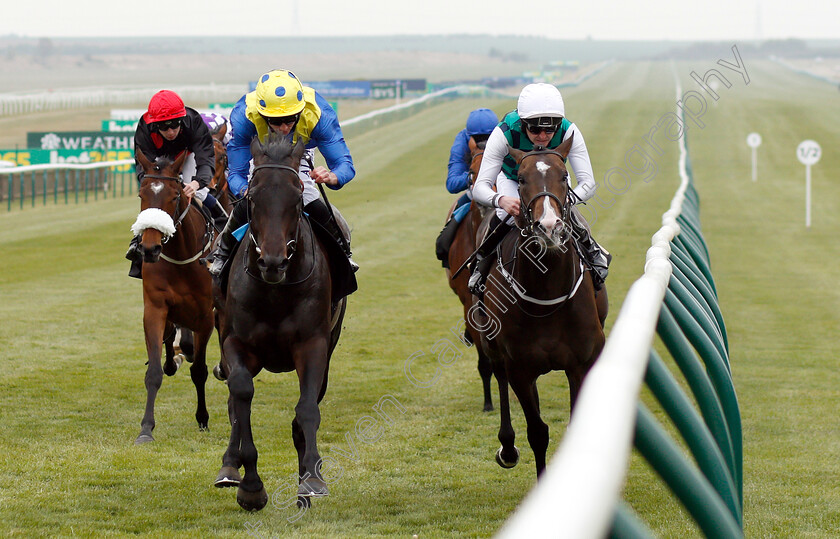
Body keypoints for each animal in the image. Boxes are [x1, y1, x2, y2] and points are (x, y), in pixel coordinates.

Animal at [131, 150, 217, 446]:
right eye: (142, 193)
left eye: (175, 195)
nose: (149, 248)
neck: (181, 257)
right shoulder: (155, 308)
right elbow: (154, 372)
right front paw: (146, 428)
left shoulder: (206, 316)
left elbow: (200, 371)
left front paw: (203, 419)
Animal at [217, 133, 352, 512]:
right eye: (252, 196)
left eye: (296, 198)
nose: (273, 262)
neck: (275, 291)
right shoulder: (235, 343)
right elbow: (241, 394)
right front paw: (250, 487)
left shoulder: (314, 345)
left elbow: (306, 408)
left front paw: (312, 480)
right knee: (235, 401)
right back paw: (229, 466)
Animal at [476, 134, 608, 476]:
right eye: (522, 180)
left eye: (564, 177)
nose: (549, 226)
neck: (547, 297)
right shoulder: (520, 368)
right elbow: (537, 431)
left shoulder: (581, 363)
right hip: (493, 346)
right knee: (497, 375)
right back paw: (507, 447)